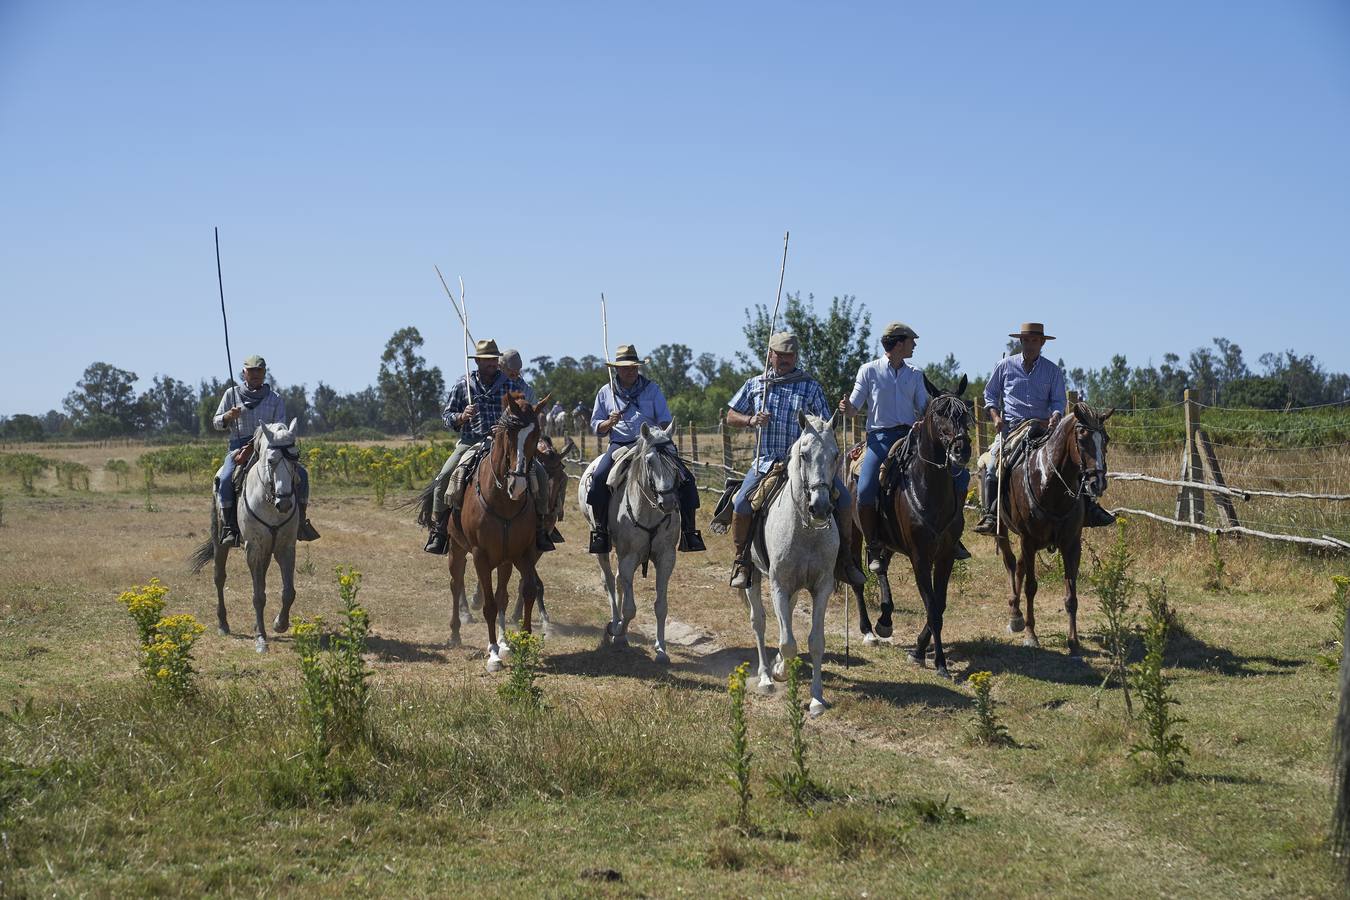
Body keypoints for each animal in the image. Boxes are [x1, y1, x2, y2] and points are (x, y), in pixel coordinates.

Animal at [191, 423, 302, 655]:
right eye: (271, 460)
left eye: (295, 457)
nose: (285, 503)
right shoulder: (253, 549)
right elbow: (258, 596)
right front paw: (260, 638)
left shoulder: (286, 547)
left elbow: (288, 592)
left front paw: (280, 624)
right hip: (219, 541)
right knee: (219, 577)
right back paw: (223, 624)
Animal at [445, 391, 545, 671]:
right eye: (508, 432)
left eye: (536, 433)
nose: (518, 485)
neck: (502, 500)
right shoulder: (480, 555)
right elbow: (488, 605)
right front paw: (493, 654)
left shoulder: (523, 552)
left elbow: (526, 592)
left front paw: (521, 641)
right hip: (457, 549)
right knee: (455, 584)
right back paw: (455, 634)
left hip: (505, 560)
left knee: (502, 596)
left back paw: (504, 641)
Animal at [580, 423, 685, 661]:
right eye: (649, 461)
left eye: (674, 457)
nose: (668, 502)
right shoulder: (629, 557)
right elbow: (630, 608)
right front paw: (617, 632)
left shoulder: (666, 558)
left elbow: (661, 606)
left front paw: (661, 649)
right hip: (602, 546)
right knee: (610, 581)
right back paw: (616, 624)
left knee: (618, 581)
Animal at [745, 415, 837, 717]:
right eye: (804, 455)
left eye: (835, 455)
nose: (820, 507)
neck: (805, 530)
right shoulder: (779, 586)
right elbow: (787, 643)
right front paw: (781, 673)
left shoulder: (821, 588)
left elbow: (815, 642)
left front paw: (817, 699)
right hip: (752, 577)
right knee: (759, 622)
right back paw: (765, 677)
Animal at [999, 404, 1112, 658]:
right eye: (1082, 438)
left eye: (1106, 439)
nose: (1097, 483)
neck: (1049, 482)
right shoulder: (1028, 540)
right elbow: (1031, 587)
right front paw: (1031, 635)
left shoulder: (1071, 544)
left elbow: (1071, 595)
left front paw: (1074, 642)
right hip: (1003, 531)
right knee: (1010, 564)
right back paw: (1015, 615)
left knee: (1018, 566)